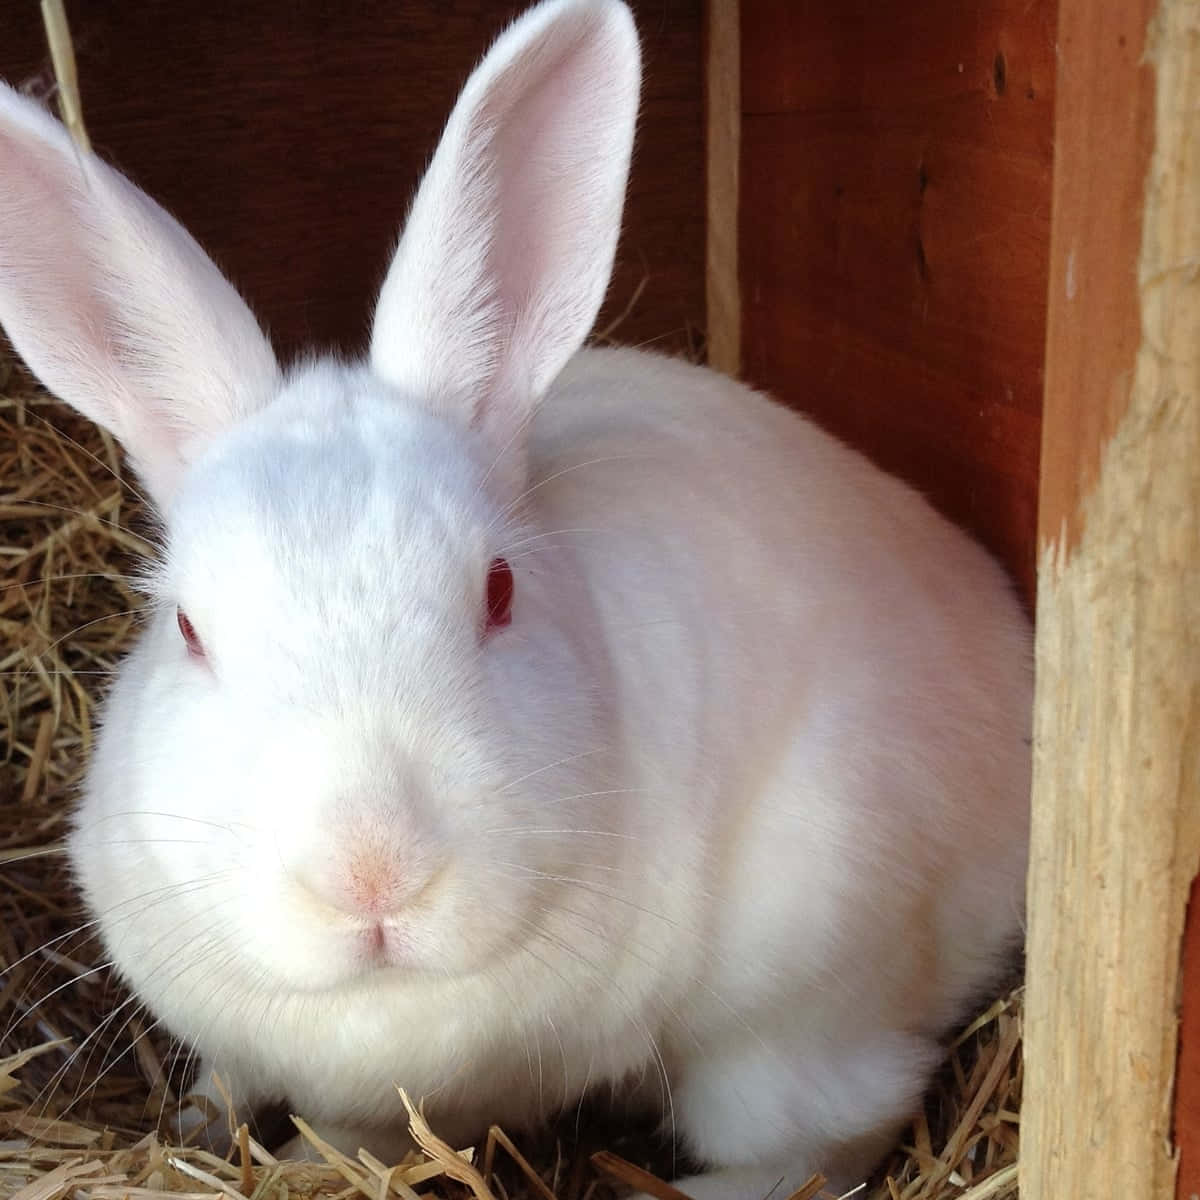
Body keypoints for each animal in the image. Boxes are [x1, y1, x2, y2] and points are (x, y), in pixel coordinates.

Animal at [0, 4, 1032, 1195]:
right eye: (186, 628)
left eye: (497, 591)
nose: (371, 871)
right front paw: (211, 1124)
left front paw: (301, 1157)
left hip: (810, 975)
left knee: (828, 1133)